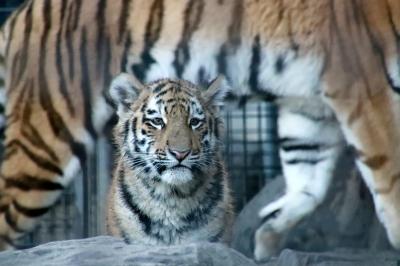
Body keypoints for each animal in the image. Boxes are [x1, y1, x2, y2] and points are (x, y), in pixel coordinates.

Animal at [0, 0, 398, 260]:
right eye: (157, 121)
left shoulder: (310, 101)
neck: (171, 201)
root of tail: (18, 16)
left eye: (195, 121)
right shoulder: (365, 85)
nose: (180, 153)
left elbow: (309, 176)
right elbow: (389, 179)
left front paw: (268, 238)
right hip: (43, 141)